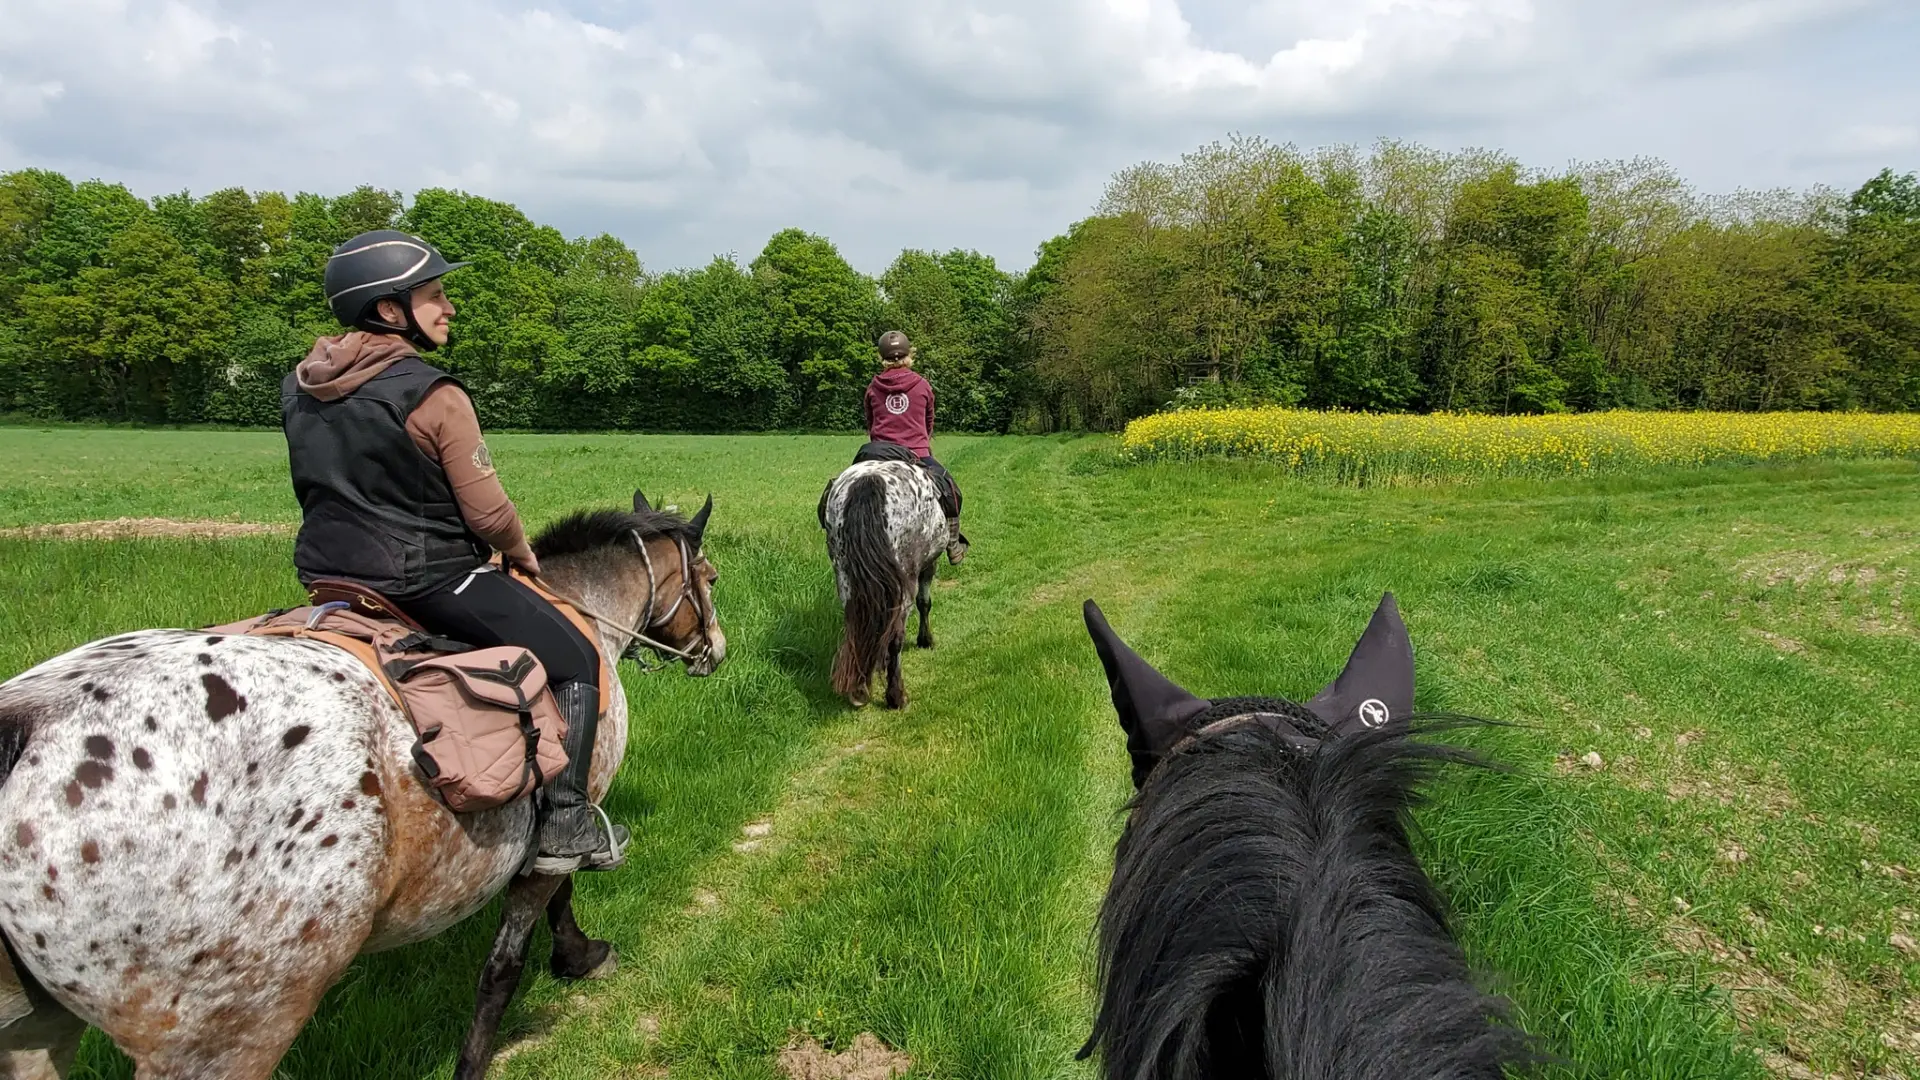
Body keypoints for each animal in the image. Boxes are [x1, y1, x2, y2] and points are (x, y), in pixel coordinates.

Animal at [0, 490, 725, 1080]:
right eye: (710, 578)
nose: (715, 650)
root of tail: (29, 726)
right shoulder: (568, 815)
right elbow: (512, 954)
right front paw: (569, 966)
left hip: (34, 1032)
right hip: (227, 1034)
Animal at [820, 460, 945, 709]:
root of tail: (868, 481)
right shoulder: (929, 565)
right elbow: (925, 603)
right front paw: (926, 640)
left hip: (845, 577)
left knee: (857, 627)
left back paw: (859, 690)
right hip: (904, 583)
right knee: (895, 638)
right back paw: (896, 697)